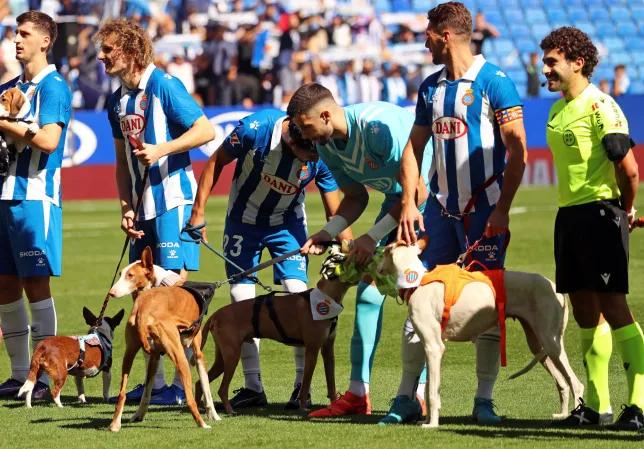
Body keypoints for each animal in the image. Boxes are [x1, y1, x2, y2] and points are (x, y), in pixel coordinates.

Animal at [104, 245, 218, 430]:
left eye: (130, 275)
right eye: (121, 274)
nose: (111, 292)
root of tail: (143, 308)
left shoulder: (155, 356)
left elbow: (146, 393)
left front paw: (138, 415)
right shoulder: (198, 354)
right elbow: (206, 388)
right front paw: (214, 415)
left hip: (128, 354)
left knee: (122, 394)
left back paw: (115, 424)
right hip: (179, 356)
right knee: (190, 399)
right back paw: (202, 424)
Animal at [200, 243, 352, 412]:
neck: (325, 299)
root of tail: (215, 315)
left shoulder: (328, 350)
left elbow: (331, 384)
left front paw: (334, 405)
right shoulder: (312, 350)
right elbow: (305, 384)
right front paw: (303, 407)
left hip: (222, 357)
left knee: (200, 382)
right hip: (232, 355)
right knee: (222, 389)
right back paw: (229, 410)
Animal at [378, 240, 584, 428]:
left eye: (385, 251)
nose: (375, 253)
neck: (418, 281)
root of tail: (555, 286)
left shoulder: (435, 348)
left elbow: (432, 393)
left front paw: (432, 425)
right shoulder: (428, 347)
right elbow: (430, 387)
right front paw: (427, 420)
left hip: (551, 343)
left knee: (576, 384)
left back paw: (577, 418)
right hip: (539, 344)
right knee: (563, 383)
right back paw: (562, 414)